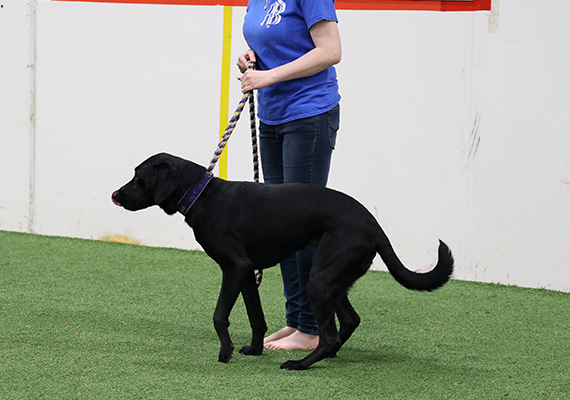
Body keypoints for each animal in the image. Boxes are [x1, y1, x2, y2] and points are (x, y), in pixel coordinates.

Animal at [112, 152, 452, 368]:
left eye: (138, 177)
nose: (115, 194)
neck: (201, 195)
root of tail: (373, 223)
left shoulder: (234, 268)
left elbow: (219, 315)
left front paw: (225, 352)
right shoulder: (247, 272)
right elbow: (256, 317)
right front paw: (254, 349)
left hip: (320, 280)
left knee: (328, 335)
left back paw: (301, 364)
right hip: (329, 277)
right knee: (350, 321)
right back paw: (327, 356)